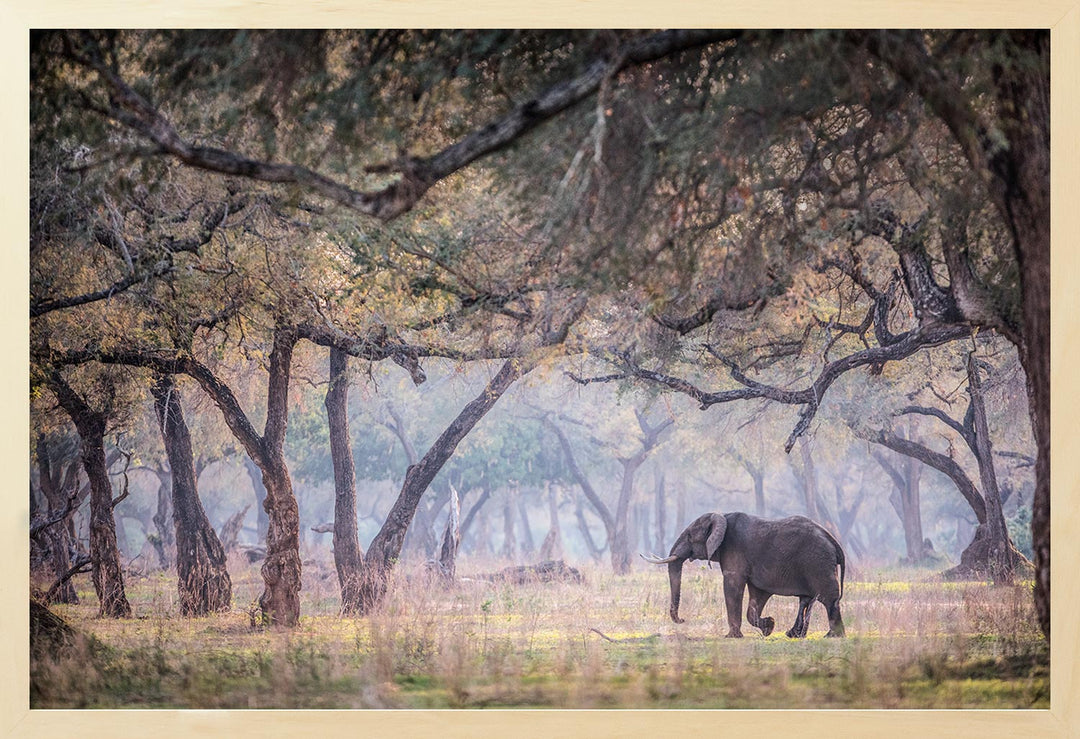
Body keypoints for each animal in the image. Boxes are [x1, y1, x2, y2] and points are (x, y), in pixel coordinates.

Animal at [641, 511, 846, 638]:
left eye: (690, 537)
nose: (682, 620)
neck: (721, 516)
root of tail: (834, 542)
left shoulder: (734, 550)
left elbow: (732, 586)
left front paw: (732, 637)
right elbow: (757, 594)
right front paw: (769, 626)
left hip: (818, 563)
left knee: (829, 599)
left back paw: (832, 636)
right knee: (807, 599)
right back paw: (796, 634)